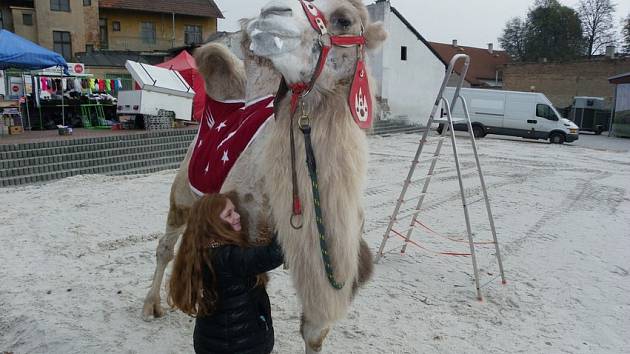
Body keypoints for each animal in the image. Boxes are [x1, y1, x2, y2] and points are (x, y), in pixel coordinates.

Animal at [144, 0, 388, 352]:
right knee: (166, 244)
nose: (271, 11)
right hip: (183, 191)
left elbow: (314, 330)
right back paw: (151, 305)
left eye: (344, 19)